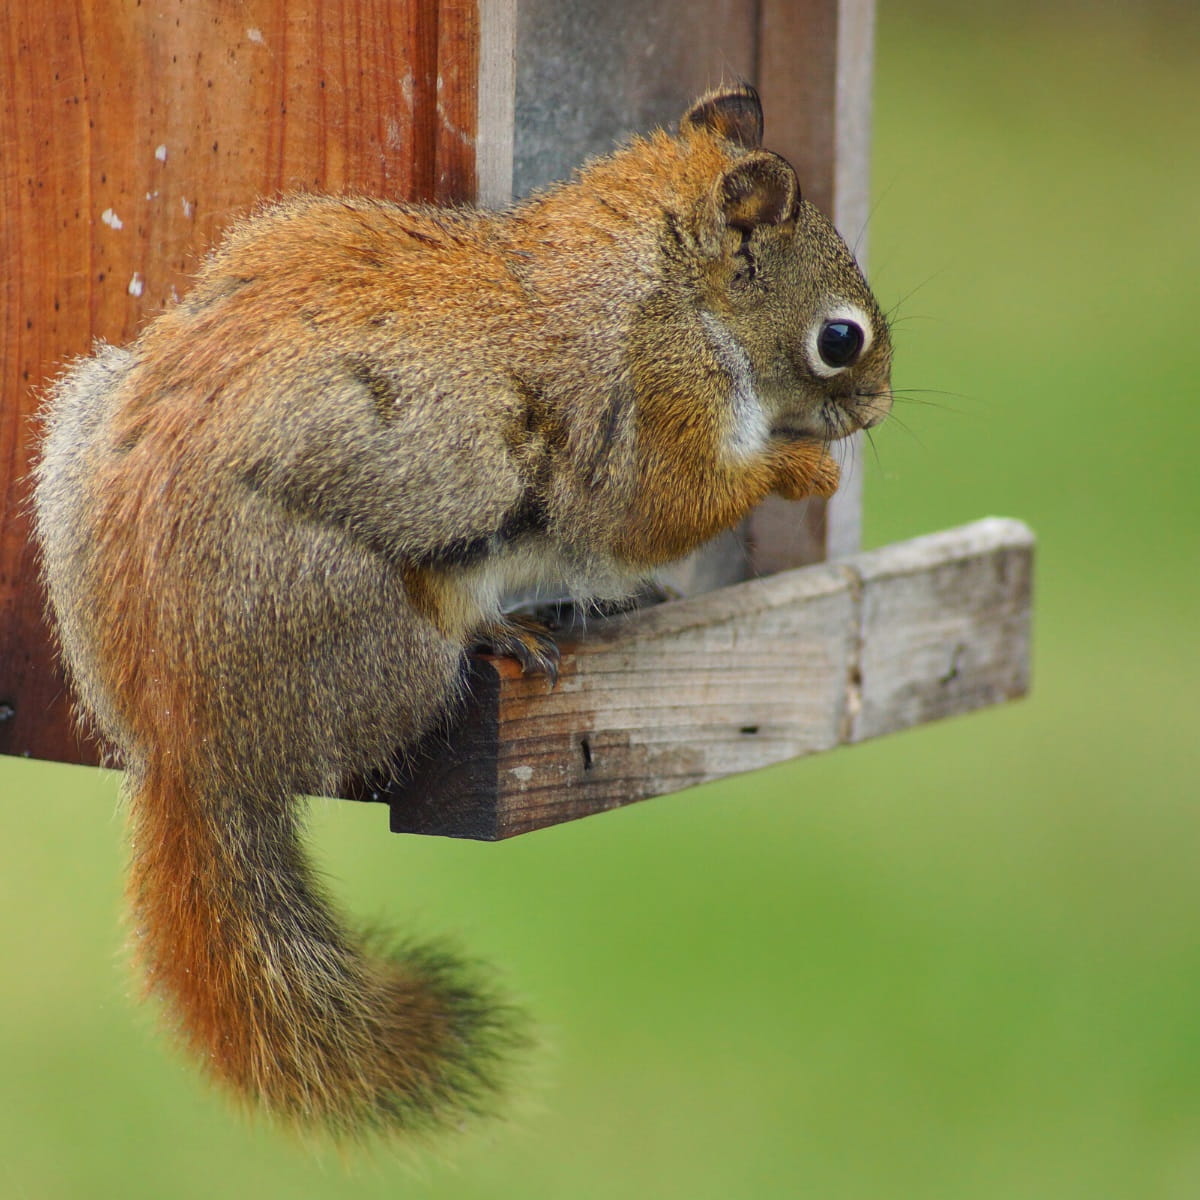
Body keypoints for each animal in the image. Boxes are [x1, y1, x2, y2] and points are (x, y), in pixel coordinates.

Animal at [30, 82, 892, 1132]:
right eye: (840, 338)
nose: (879, 407)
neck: (660, 279)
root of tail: (184, 738)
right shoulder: (654, 399)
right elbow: (656, 508)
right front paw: (797, 467)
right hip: (376, 632)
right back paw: (502, 630)